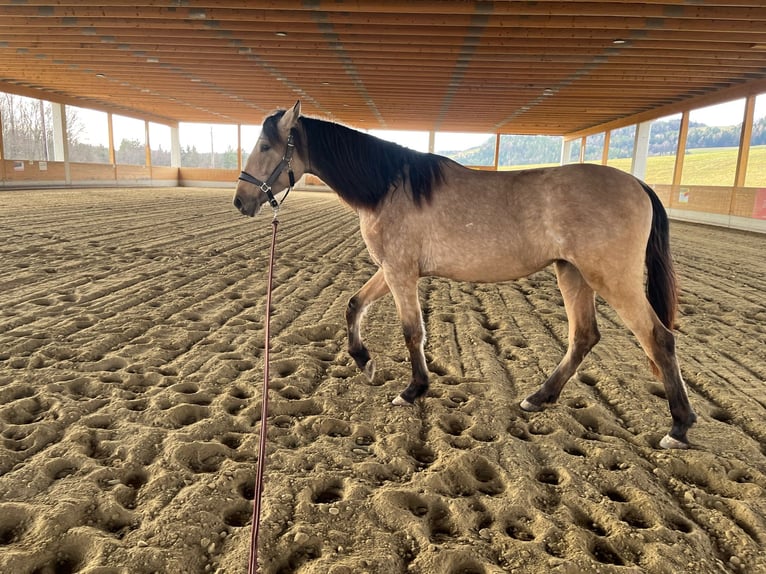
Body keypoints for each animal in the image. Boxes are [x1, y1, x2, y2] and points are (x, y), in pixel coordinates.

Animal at [232, 101, 696, 450]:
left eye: (266, 144)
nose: (240, 201)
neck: (390, 187)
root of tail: (638, 184)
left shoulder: (400, 272)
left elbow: (412, 332)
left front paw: (414, 389)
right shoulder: (392, 269)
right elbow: (353, 305)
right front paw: (365, 361)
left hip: (611, 279)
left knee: (658, 338)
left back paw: (679, 426)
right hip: (573, 274)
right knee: (584, 336)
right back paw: (538, 398)